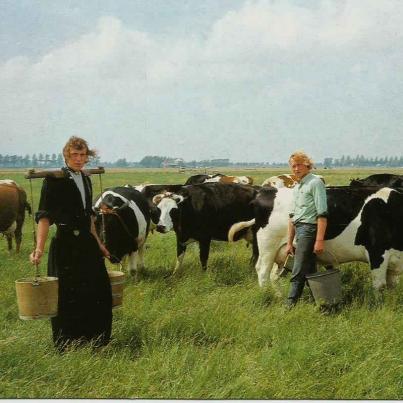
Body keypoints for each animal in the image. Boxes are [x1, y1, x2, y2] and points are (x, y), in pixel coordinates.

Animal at [230, 185, 403, 292]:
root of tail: (266, 192)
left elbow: (391, 286)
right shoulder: (377, 251)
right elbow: (379, 285)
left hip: (283, 251)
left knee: (273, 276)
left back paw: (278, 296)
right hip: (268, 247)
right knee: (262, 271)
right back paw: (268, 296)